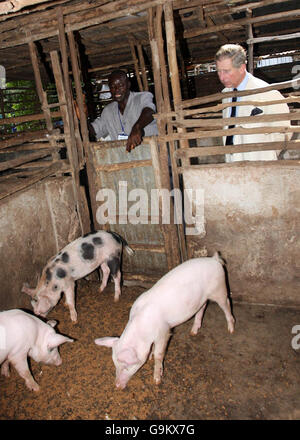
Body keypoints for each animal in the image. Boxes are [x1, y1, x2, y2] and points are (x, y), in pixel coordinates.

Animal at [95, 253, 236, 390]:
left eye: (127, 367)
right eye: (115, 365)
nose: (117, 386)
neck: (143, 330)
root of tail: (214, 259)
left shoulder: (164, 331)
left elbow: (159, 354)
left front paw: (157, 380)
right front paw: (150, 356)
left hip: (220, 289)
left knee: (227, 303)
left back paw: (231, 329)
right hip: (203, 298)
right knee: (203, 306)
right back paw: (193, 332)